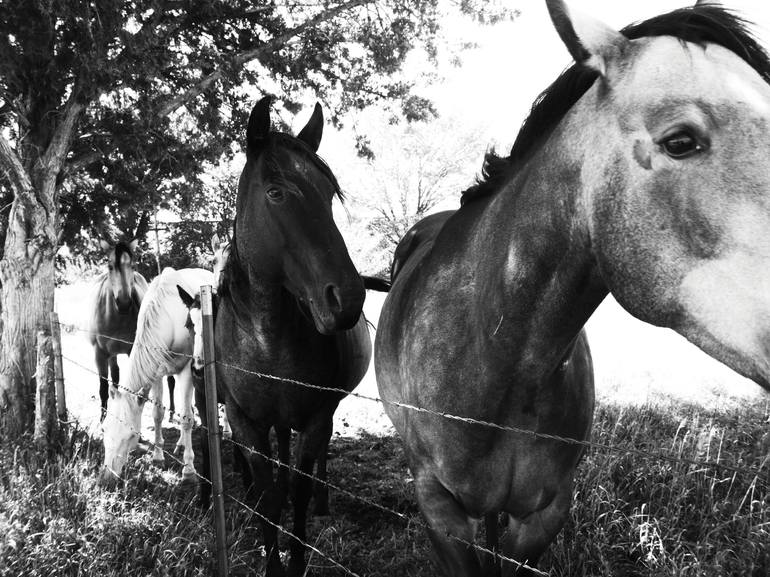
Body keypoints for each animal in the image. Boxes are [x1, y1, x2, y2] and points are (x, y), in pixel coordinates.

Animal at [89, 238, 148, 418]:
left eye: (133, 266)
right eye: (110, 266)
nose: (124, 303)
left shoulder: (131, 351)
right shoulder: (100, 354)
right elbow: (103, 389)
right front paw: (102, 421)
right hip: (110, 354)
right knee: (114, 377)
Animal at [100, 268, 213, 484]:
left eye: (130, 435)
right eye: (104, 429)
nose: (106, 478)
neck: (168, 319)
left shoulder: (188, 371)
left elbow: (186, 418)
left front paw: (189, 470)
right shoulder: (156, 373)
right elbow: (157, 413)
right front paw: (158, 456)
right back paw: (180, 443)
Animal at [216, 98, 372, 576]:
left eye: (329, 194)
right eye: (276, 192)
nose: (347, 299)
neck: (266, 342)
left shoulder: (318, 416)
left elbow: (300, 491)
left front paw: (298, 557)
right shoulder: (244, 421)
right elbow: (267, 499)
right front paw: (273, 561)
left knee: (316, 462)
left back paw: (322, 497)